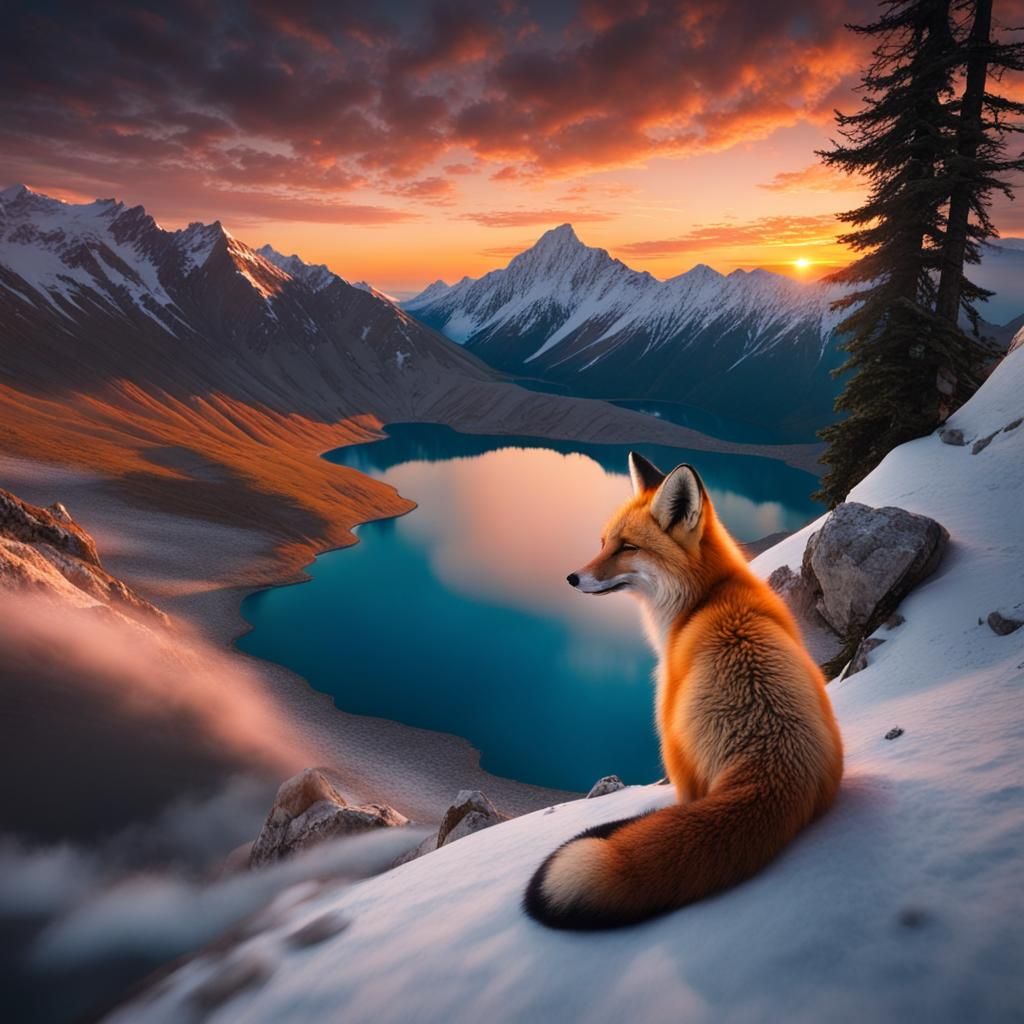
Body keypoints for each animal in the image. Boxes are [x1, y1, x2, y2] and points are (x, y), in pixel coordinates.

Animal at [524, 452, 843, 930]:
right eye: (603, 541)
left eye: (627, 547)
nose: (571, 578)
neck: (705, 599)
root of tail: (773, 771)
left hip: (681, 761)